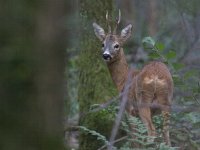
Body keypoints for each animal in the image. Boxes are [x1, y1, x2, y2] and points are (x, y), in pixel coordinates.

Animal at [93, 10, 173, 145]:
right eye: (102, 44)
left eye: (117, 45)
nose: (106, 55)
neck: (123, 79)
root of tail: (156, 76)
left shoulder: (128, 109)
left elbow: (134, 138)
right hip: (166, 101)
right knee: (166, 133)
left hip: (143, 101)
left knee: (152, 131)